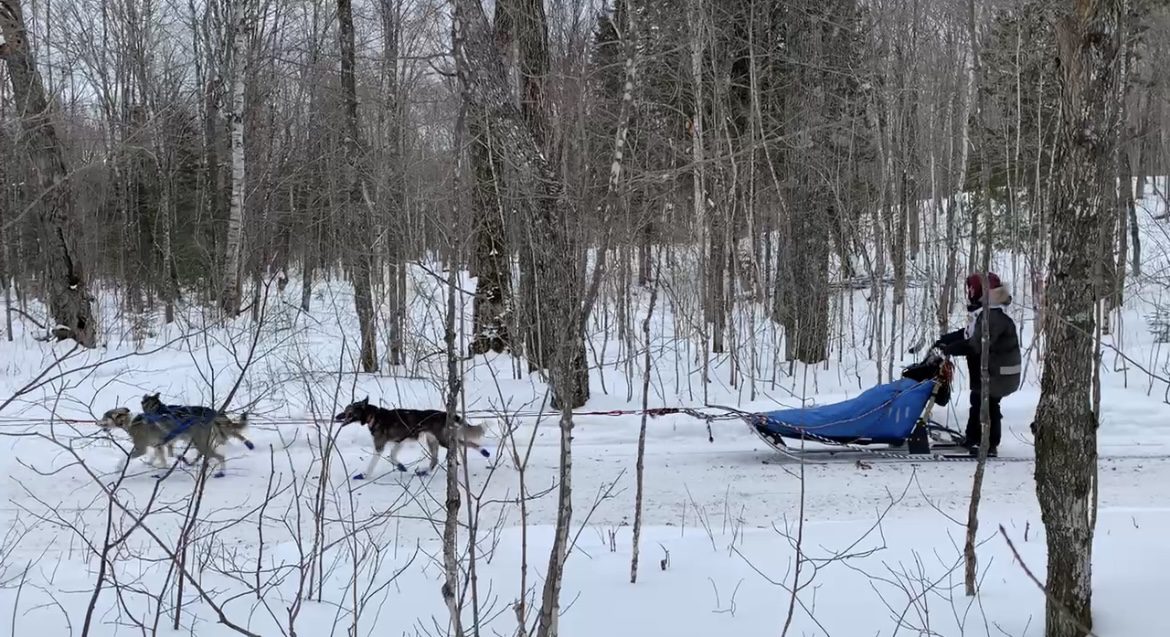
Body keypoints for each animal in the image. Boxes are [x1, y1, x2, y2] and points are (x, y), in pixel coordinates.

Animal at [334, 395, 489, 480]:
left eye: (347, 410)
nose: (336, 416)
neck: (373, 416)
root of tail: (444, 414)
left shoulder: (380, 446)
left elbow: (372, 464)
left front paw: (364, 475)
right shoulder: (400, 441)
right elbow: (392, 456)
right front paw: (401, 466)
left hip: (443, 440)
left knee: (462, 444)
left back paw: (483, 452)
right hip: (433, 440)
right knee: (436, 459)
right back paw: (425, 472)